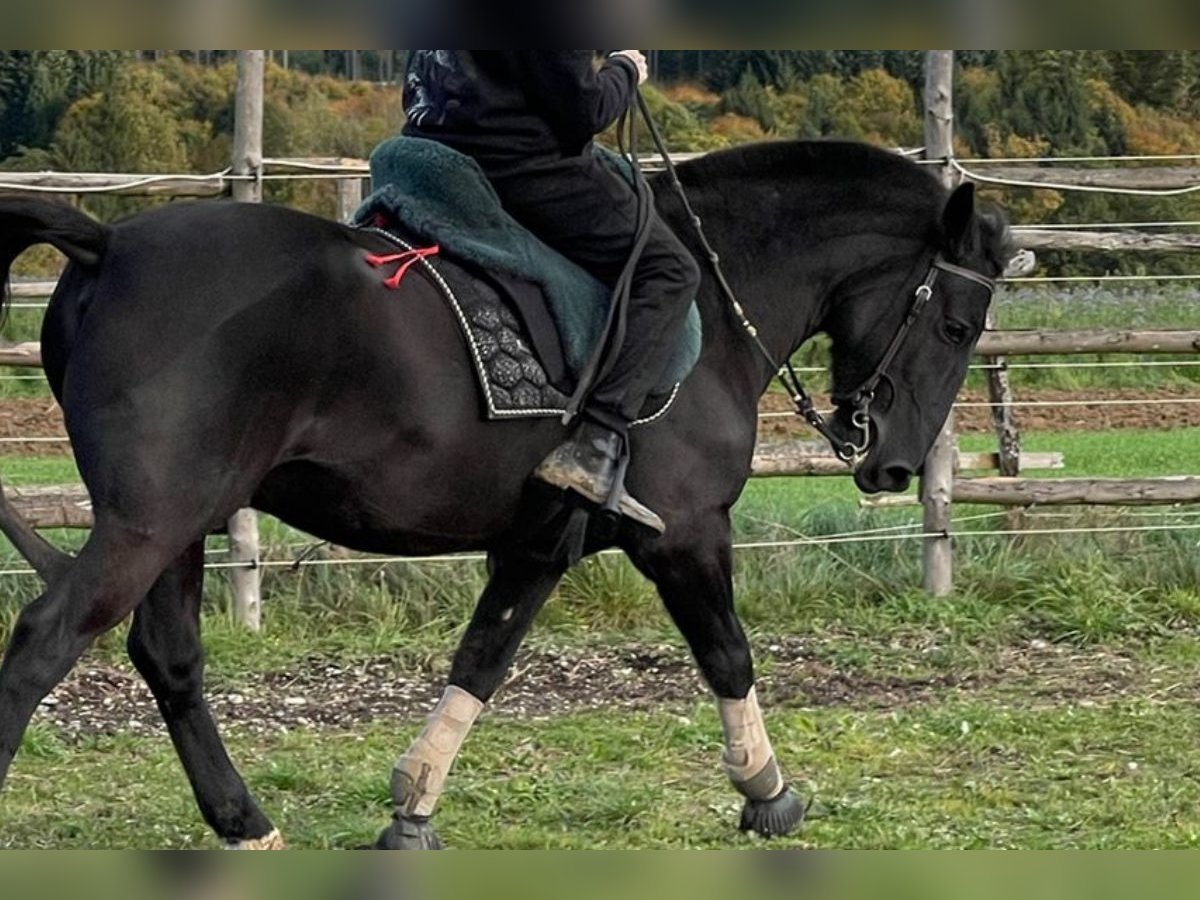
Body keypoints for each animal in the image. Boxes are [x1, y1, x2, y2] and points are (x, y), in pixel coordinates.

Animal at [0, 142, 1012, 854]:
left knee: (169, 657)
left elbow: (482, 659)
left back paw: (244, 821)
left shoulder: (542, 541)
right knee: (43, 641)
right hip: (150, 520)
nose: (892, 466)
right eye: (959, 325)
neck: (712, 303)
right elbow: (727, 653)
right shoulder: (685, 533)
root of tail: (110, 240)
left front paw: (412, 805)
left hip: (181, 524)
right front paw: (766, 790)